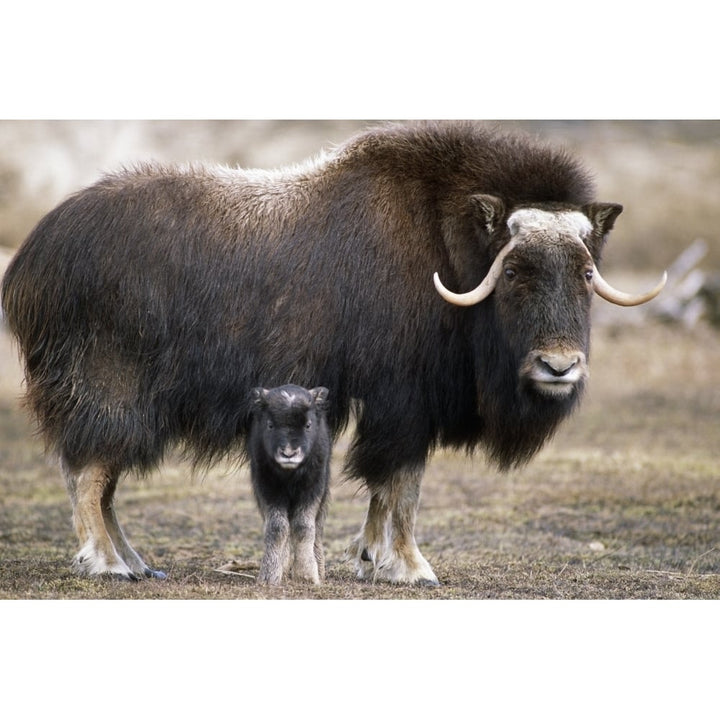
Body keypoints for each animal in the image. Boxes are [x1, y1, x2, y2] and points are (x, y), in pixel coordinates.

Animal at [248, 386, 332, 584]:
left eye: (308, 425)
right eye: (270, 425)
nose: (288, 453)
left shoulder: (312, 488)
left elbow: (304, 526)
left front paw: (307, 575)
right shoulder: (268, 488)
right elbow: (277, 527)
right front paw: (269, 576)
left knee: (317, 527)